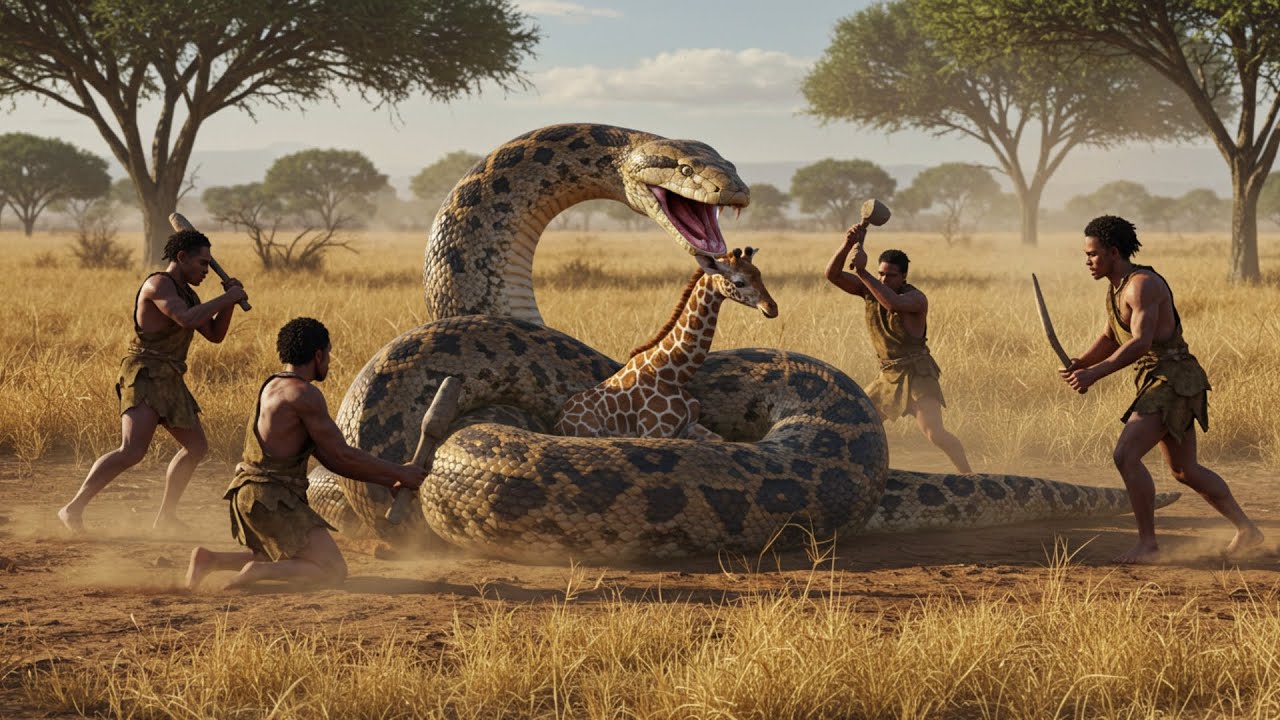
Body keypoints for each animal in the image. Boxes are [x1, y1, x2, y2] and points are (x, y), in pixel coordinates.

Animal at [555, 247, 778, 440]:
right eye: (739, 282)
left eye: (759, 274)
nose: (772, 308)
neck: (672, 374)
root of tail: (559, 422)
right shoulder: (654, 431)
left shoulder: (690, 425)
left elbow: (720, 439)